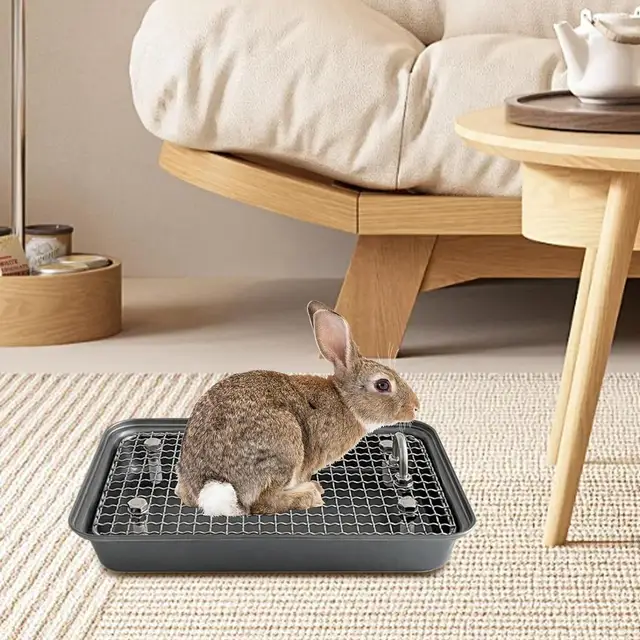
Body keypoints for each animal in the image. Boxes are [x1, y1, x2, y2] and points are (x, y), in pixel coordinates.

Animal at [175, 300, 420, 516]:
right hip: (285, 446)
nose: (416, 407)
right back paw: (310, 494)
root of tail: (211, 485)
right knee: (263, 503)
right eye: (383, 384)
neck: (344, 400)